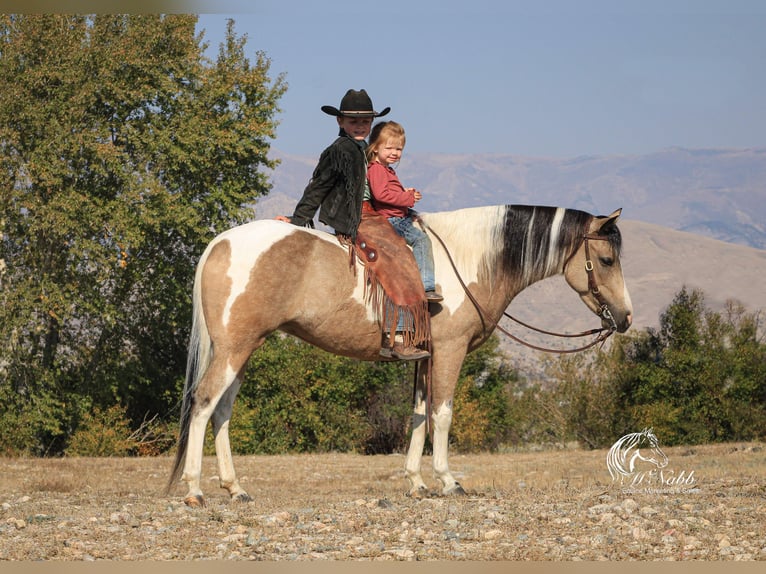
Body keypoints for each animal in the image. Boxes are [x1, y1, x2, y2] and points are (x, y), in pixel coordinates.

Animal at [170, 205, 636, 506]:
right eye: (605, 259)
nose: (627, 317)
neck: (470, 259)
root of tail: (219, 243)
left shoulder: (423, 357)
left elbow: (418, 414)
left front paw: (415, 482)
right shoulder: (449, 351)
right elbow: (442, 414)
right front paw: (448, 481)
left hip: (243, 349)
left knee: (222, 410)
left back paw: (235, 489)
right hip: (234, 348)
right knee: (204, 402)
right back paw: (194, 490)